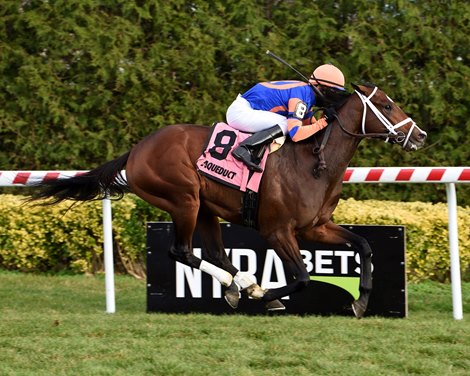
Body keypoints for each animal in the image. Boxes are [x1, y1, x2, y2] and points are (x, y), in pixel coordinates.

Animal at [29, 83, 426, 318]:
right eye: (386, 104)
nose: (420, 135)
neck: (314, 163)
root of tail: (137, 150)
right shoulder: (277, 230)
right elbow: (301, 277)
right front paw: (269, 296)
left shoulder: (316, 227)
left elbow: (364, 245)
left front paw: (361, 300)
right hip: (184, 199)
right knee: (181, 251)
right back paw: (249, 288)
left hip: (205, 208)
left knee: (216, 253)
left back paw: (244, 285)